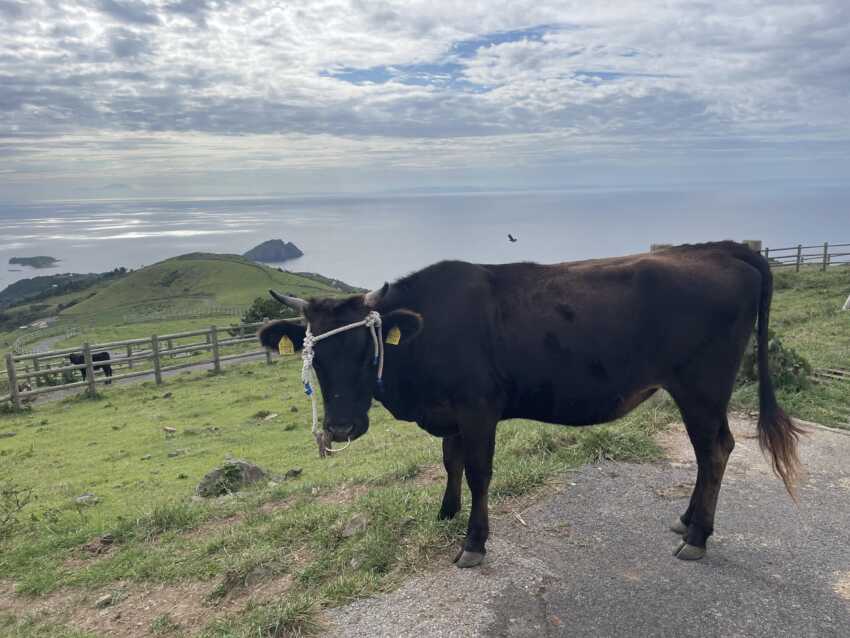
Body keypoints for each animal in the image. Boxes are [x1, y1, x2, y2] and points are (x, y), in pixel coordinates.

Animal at [258, 242, 800, 568]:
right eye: (314, 357)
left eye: (366, 350)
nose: (341, 427)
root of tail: (720, 249)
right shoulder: (451, 414)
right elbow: (451, 462)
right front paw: (446, 512)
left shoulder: (478, 408)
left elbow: (479, 473)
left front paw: (473, 542)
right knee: (712, 452)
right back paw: (687, 521)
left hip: (701, 388)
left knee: (715, 450)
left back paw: (697, 537)